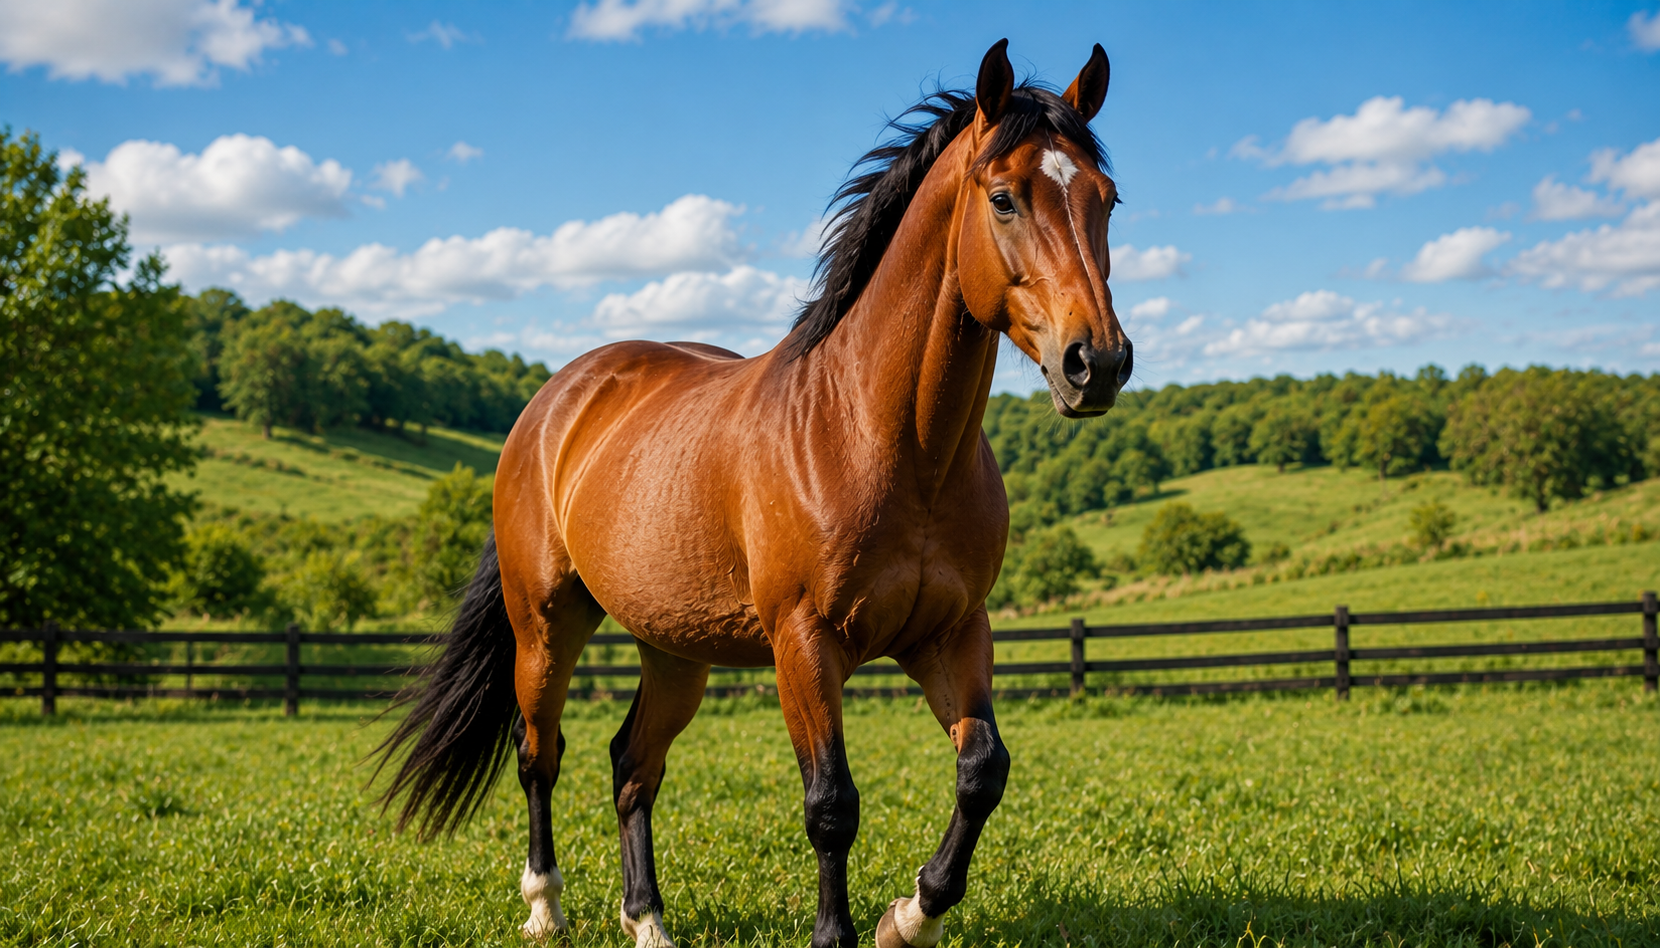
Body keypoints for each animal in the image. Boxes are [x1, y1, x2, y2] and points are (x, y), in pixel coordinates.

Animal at [373, 39, 1131, 948]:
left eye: (1107, 200)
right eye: (1005, 198)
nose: (1097, 363)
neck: (883, 438)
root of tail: (553, 403)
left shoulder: (949, 634)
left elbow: (982, 771)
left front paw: (909, 916)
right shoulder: (803, 645)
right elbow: (831, 804)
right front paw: (840, 933)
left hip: (672, 647)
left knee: (632, 764)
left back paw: (648, 921)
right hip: (546, 625)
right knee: (539, 755)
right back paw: (545, 906)